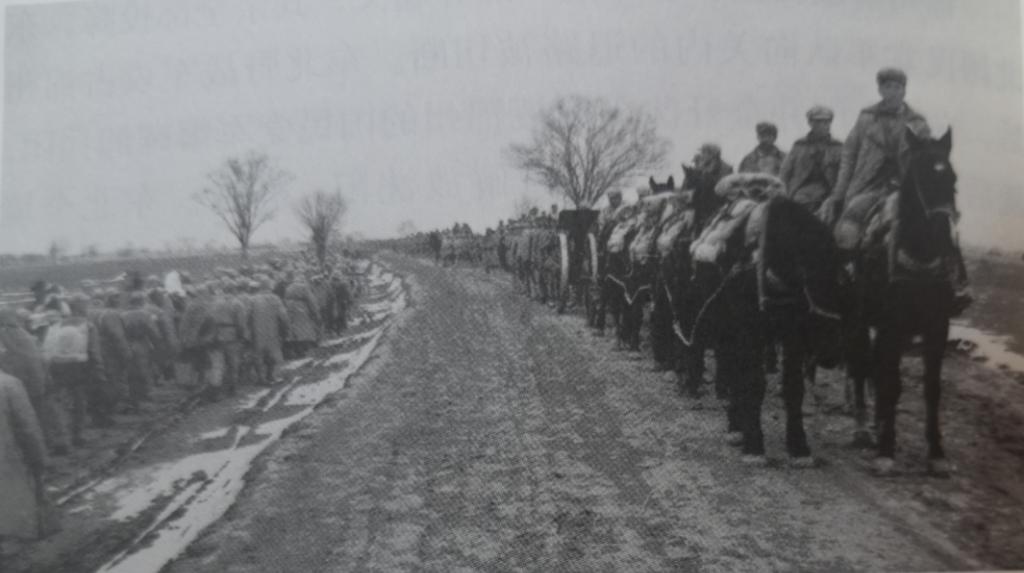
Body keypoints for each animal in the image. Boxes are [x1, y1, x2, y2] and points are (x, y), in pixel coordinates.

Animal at [844, 127, 960, 476]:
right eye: (921, 174)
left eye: (953, 178)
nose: (943, 232)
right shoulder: (890, 327)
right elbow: (890, 382)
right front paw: (886, 450)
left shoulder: (938, 327)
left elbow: (932, 388)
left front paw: (936, 453)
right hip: (858, 321)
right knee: (861, 367)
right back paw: (863, 428)